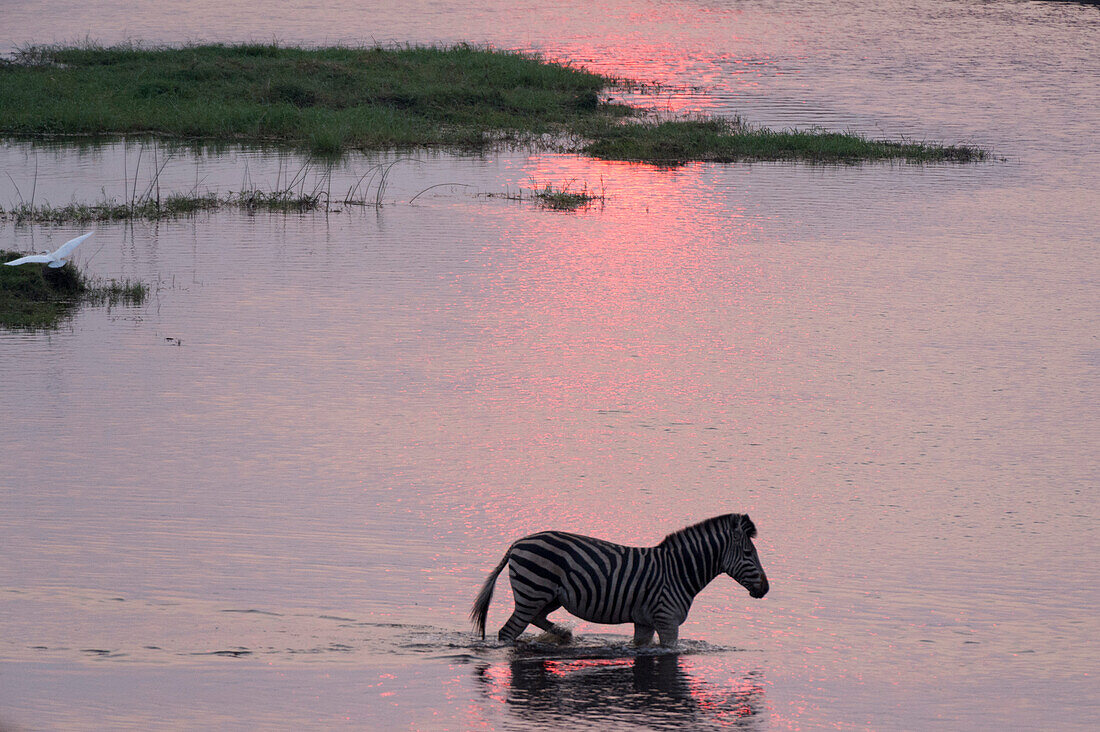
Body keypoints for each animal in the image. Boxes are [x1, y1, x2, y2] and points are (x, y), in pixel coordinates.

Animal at [468, 512, 770, 647]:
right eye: (748, 553)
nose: (765, 588)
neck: (678, 571)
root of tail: (517, 542)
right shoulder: (667, 620)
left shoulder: (646, 621)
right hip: (533, 591)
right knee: (508, 632)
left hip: (548, 597)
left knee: (536, 618)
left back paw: (564, 634)